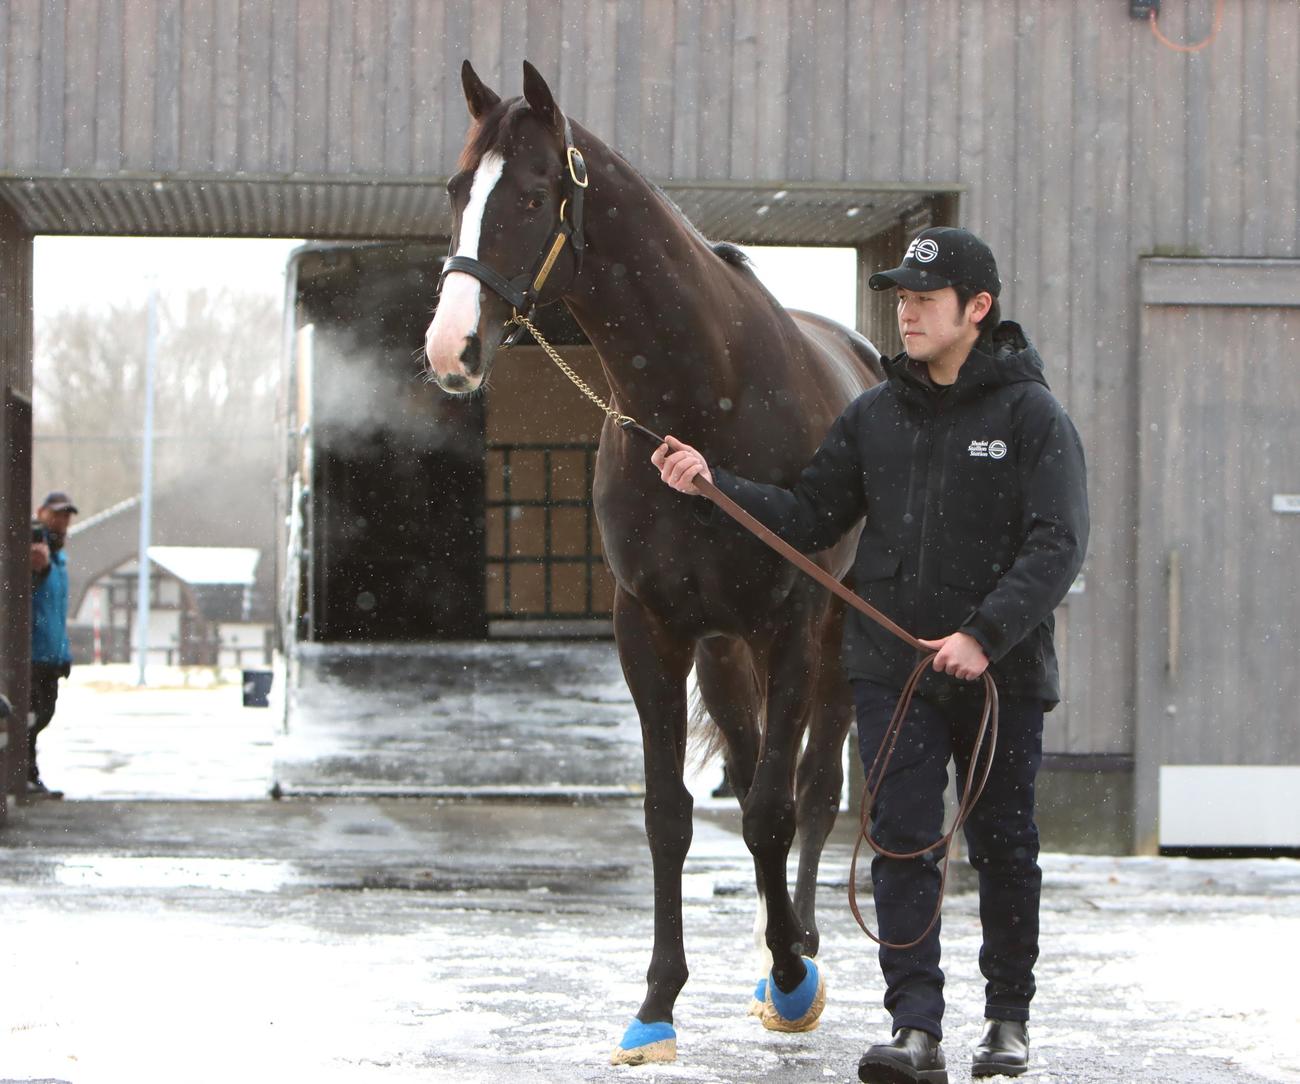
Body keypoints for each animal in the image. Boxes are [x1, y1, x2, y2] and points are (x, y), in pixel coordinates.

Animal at [424, 60, 883, 1065]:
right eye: (456, 192)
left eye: (530, 195)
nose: (451, 348)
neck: (704, 392)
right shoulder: (655, 630)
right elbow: (670, 815)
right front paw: (658, 1002)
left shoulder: (792, 624)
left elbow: (773, 807)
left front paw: (793, 981)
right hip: (723, 652)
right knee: (753, 778)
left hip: (835, 636)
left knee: (812, 792)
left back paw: (800, 949)